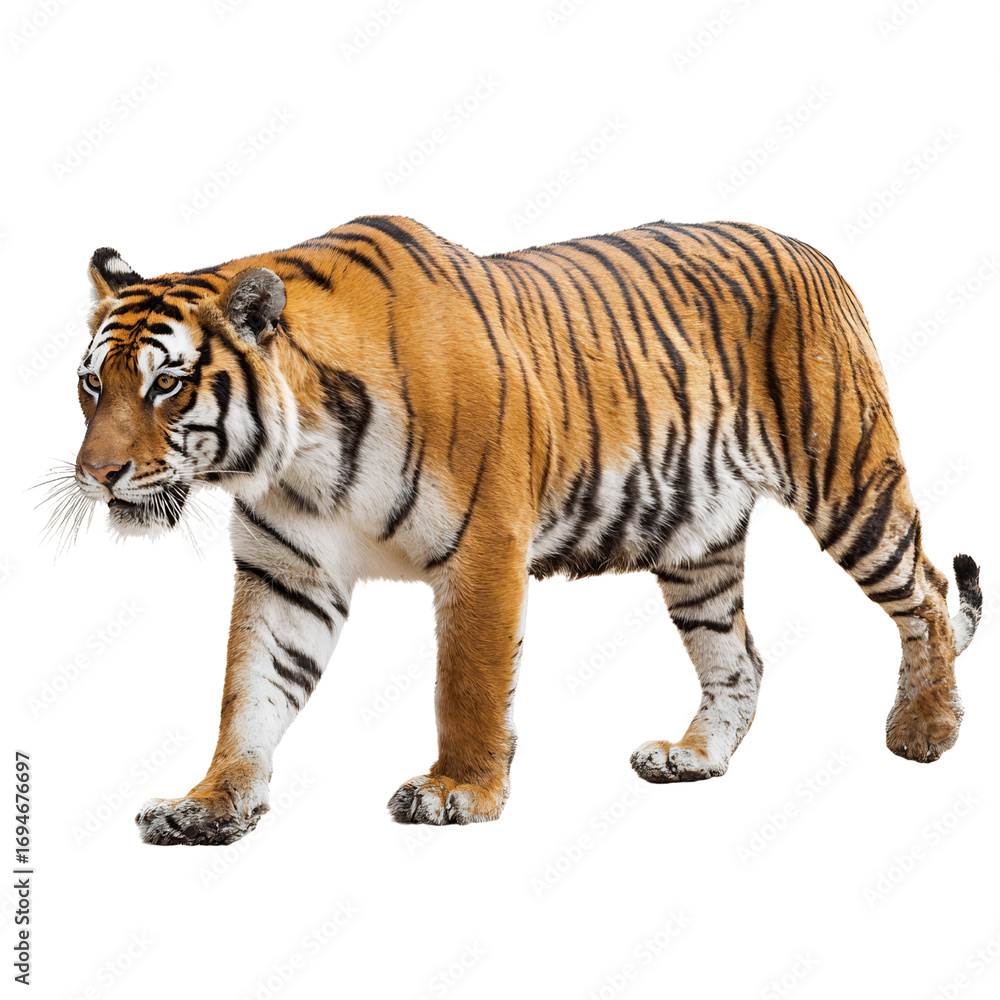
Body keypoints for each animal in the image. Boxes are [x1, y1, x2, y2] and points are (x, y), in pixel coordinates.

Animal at [59, 216, 982, 845]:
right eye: (92, 385)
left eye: (168, 385)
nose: (96, 473)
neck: (296, 456)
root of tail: (810, 248)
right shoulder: (288, 574)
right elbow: (248, 694)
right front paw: (209, 805)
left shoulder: (484, 548)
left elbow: (466, 683)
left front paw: (457, 793)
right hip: (698, 545)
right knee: (740, 658)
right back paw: (694, 758)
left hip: (849, 481)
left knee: (928, 593)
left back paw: (926, 729)